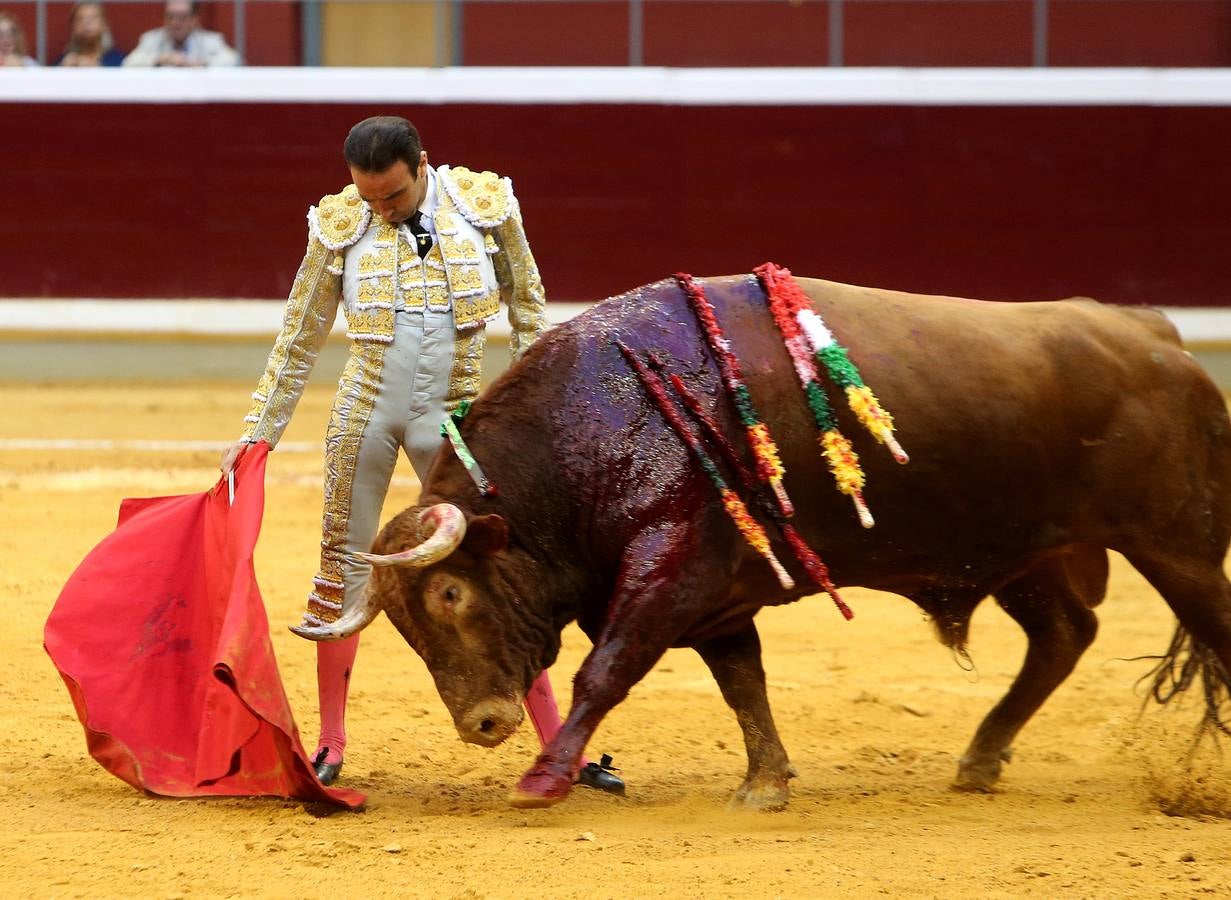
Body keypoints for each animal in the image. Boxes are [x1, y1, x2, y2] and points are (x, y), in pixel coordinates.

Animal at [290, 273, 1231, 807]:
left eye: (452, 592)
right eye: (407, 624)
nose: (482, 724)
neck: (587, 431)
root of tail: (1154, 336)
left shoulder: (670, 573)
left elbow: (607, 670)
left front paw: (542, 779)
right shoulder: (714, 597)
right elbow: (743, 683)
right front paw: (765, 782)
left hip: (1175, 546)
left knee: (1201, 629)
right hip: (1020, 553)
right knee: (1064, 633)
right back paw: (979, 759)